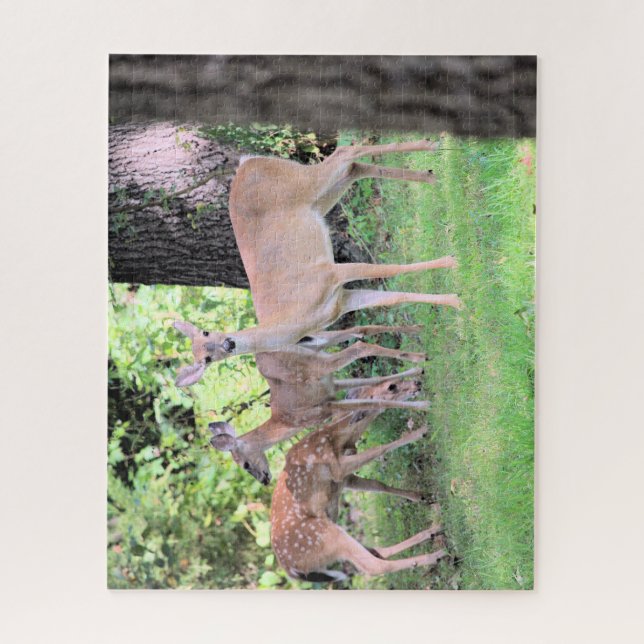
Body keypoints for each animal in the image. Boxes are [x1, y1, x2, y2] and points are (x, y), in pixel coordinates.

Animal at [173, 139, 461, 387]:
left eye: (207, 333)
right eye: (205, 359)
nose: (227, 345)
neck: (294, 319)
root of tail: (246, 162)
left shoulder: (329, 273)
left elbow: (388, 270)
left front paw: (452, 272)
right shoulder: (341, 300)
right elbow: (393, 297)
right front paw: (451, 300)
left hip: (303, 183)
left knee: (346, 152)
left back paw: (430, 146)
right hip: (321, 198)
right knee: (355, 167)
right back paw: (431, 175)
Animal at [205, 324, 430, 485]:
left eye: (244, 464)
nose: (264, 480)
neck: (286, 422)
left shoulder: (321, 409)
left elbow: (372, 402)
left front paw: (423, 405)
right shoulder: (332, 387)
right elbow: (374, 388)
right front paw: (415, 378)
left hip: (315, 365)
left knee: (360, 346)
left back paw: (421, 355)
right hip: (321, 345)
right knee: (361, 330)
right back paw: (420, 337)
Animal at [270, 378, 445, 583]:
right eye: (391, 387)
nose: (417, 382)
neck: (336, 440)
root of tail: (291, 570)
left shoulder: (344, 479)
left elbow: (378, 484)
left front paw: (421, 496)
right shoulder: (337, 469)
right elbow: (379, 449)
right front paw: (421, 431)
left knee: (376, 551)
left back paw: (433, 530)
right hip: (321, 534)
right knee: (373, 566)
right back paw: (437, 554)